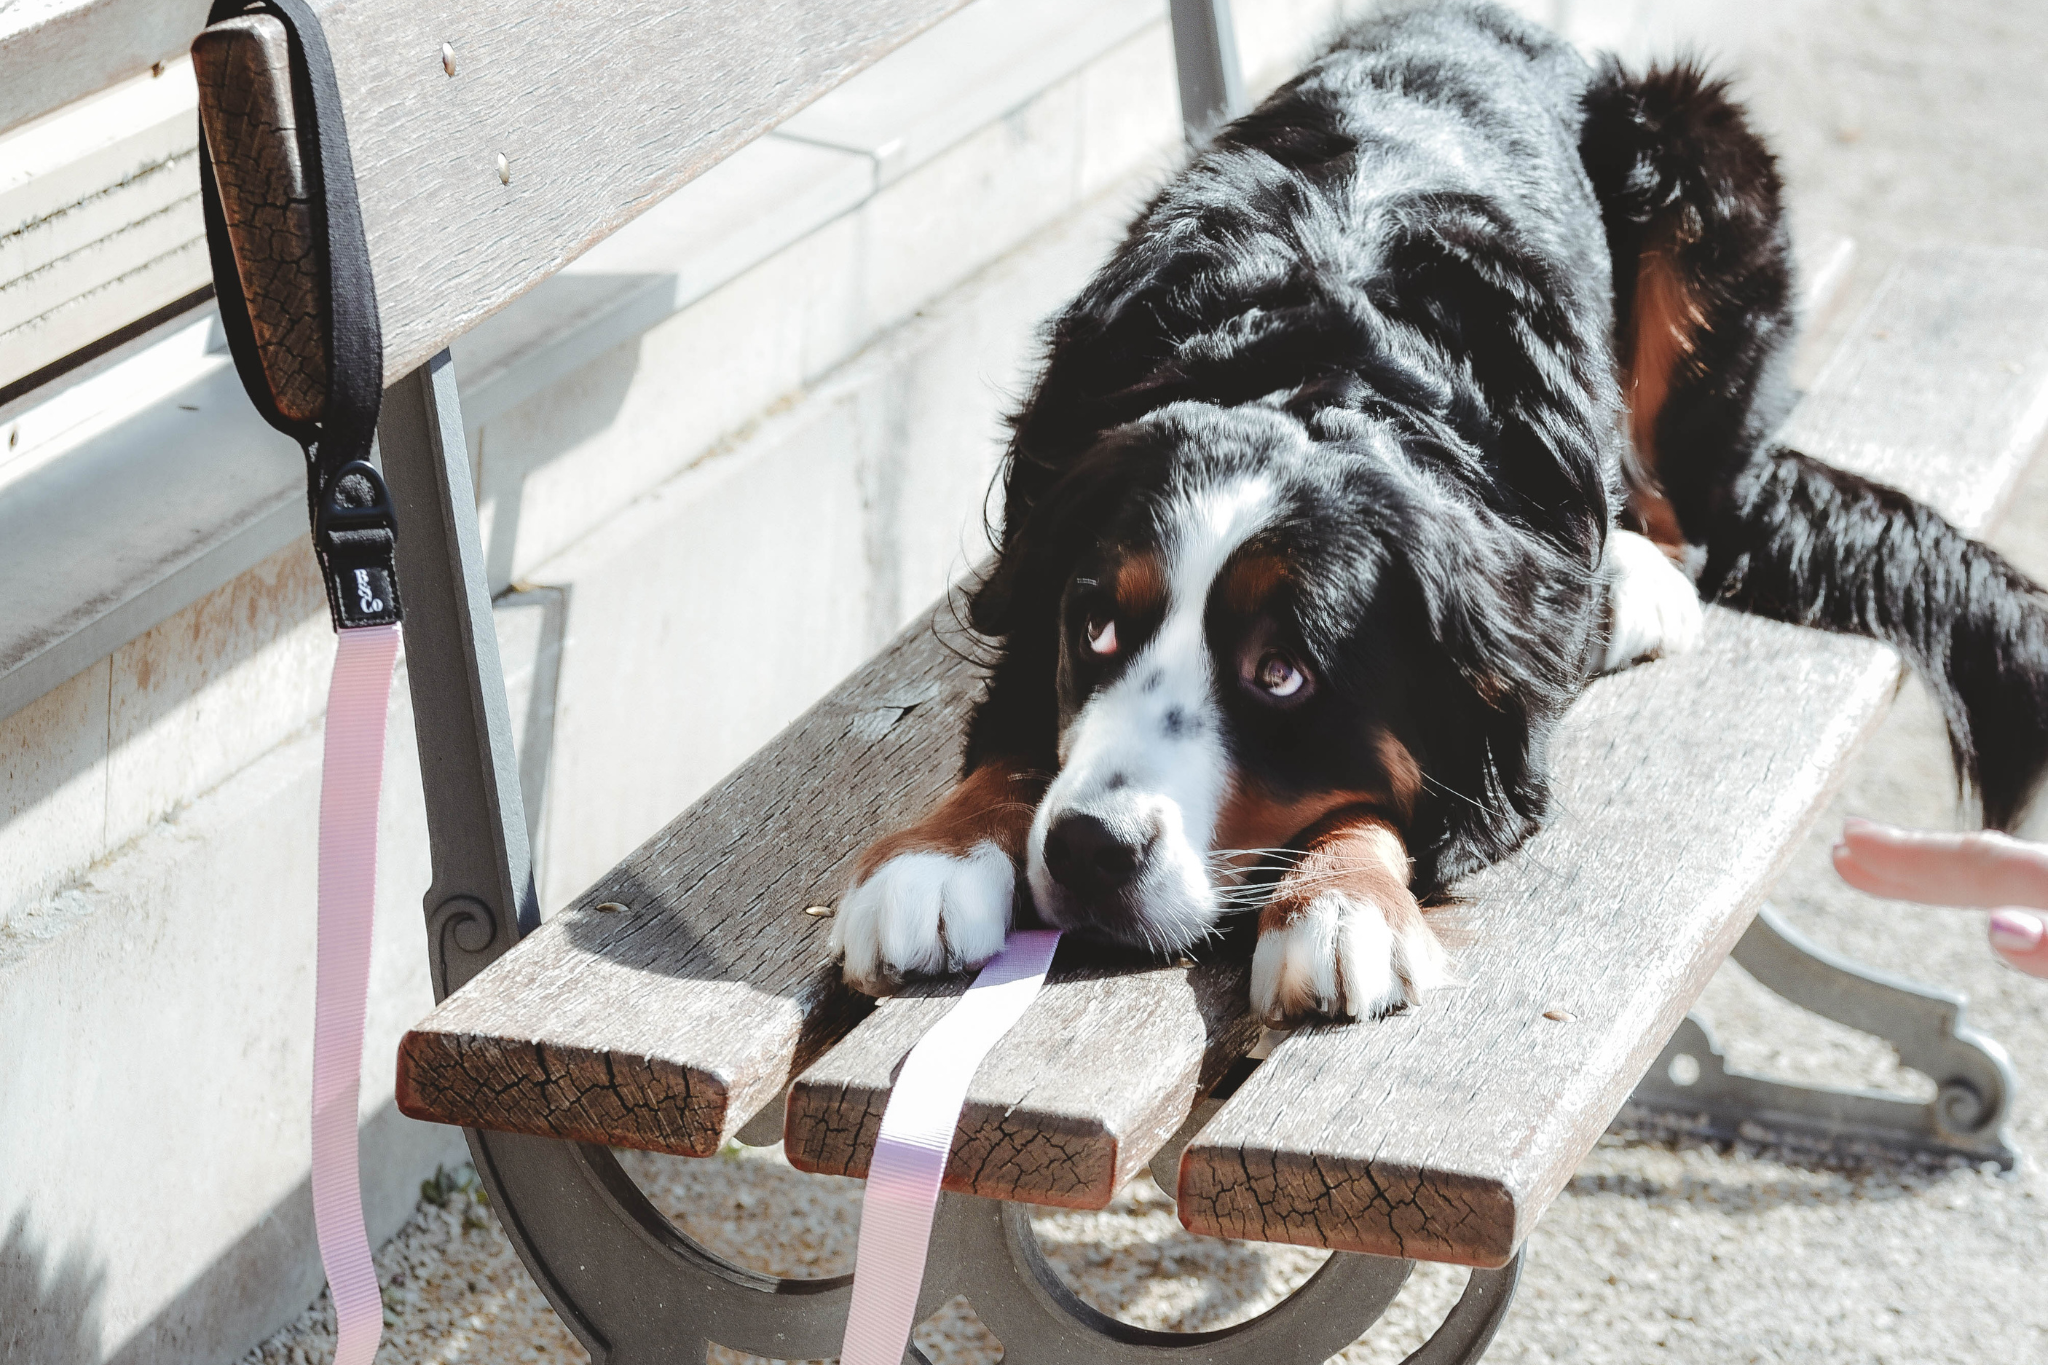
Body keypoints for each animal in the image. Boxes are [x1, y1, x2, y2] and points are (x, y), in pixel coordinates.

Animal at [823, 0, 2039, 1023]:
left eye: (1282, 673)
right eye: (1097, 626)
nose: (1088, 849)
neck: (1310, 363)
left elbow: (1396, 786)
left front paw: (1340, 902)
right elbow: (1014, 732)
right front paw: (932, 858)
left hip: (1692, 154)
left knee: (1691, 513)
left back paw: (1638, 580)